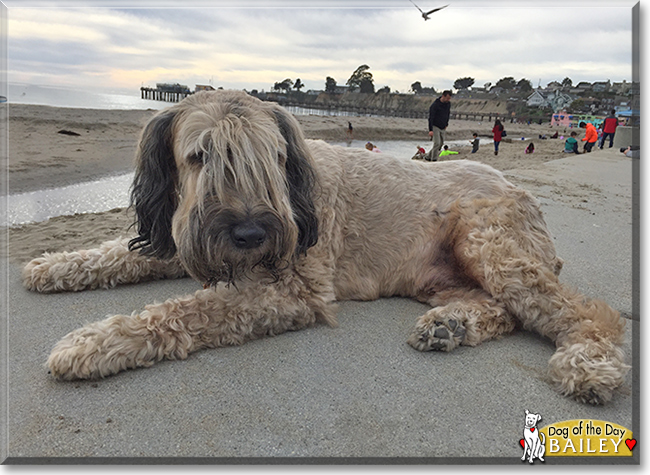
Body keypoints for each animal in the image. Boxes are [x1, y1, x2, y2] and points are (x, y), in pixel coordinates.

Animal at [22, 90, 624, 406]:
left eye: (271, 158)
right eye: (199, 156)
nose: (250, 236)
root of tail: (526, 196)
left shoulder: (289, 290)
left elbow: (178, 314)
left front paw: (93, 342)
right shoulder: (185, 238)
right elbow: (117, 252)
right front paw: (54, 264)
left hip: (489, 244)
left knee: (580, 311)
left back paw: (590, 362)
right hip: (446, 276)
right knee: (504, 310)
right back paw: (450, 325)